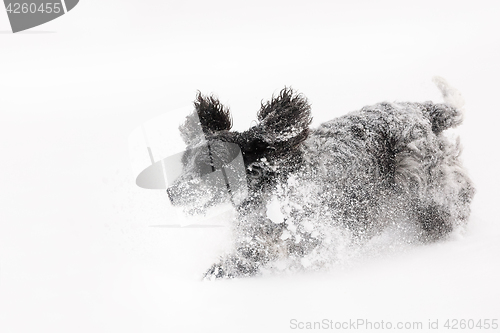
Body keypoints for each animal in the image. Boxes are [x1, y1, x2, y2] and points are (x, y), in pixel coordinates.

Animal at [166, 78, 474, 278]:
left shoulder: (318, 232)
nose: (171, 193)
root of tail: (422, 110)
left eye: (209, 165)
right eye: (185, 162)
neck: (273, 185)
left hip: (418, 178)